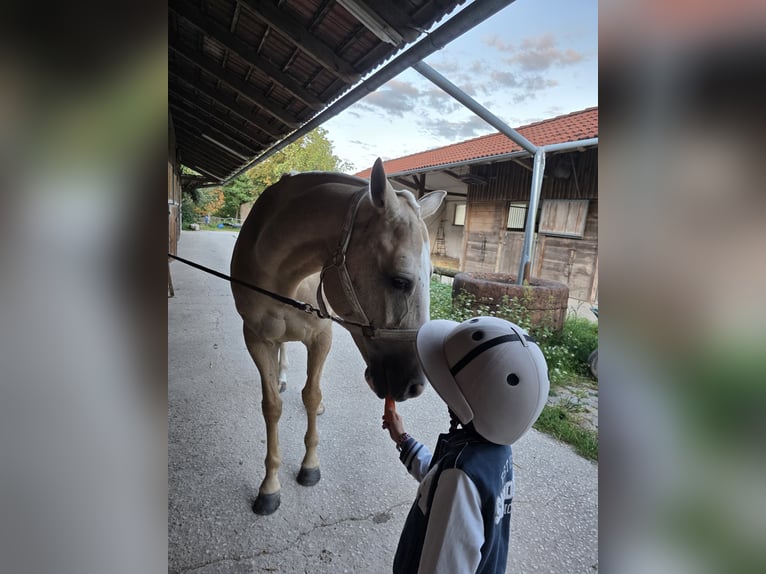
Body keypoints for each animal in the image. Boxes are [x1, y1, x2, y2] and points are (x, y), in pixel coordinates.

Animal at [230, 158, 445, 515]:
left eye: (431, 275)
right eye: (399, 280)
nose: (413, 386)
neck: (283, 274)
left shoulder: (321, 336)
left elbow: (311, 394)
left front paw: (309, 465)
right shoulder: (255, 339)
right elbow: (272, 406)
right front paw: (269, 487)